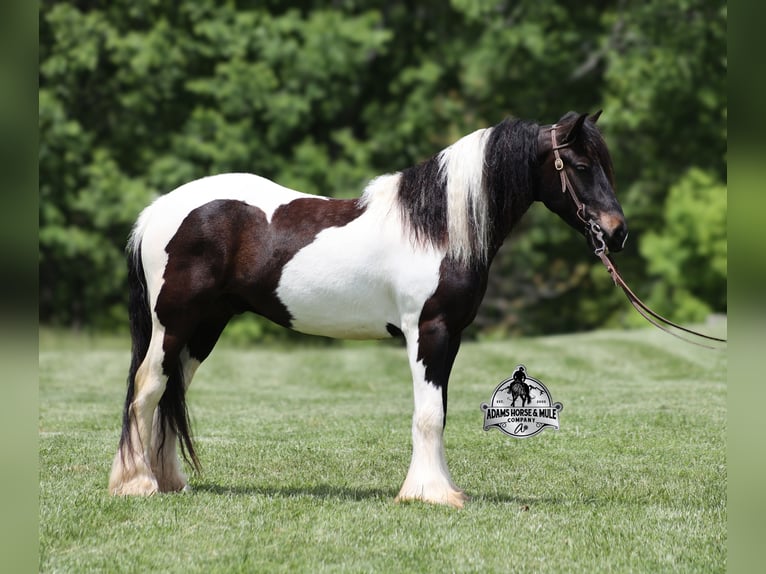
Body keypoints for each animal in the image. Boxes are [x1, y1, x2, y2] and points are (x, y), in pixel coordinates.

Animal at [109, 111, 627, 508]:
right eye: (580, 164)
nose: (617, 232)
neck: (437, 229)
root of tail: (157, 212)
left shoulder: (452, 335)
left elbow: (438, 411)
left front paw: (440, 489)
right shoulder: (428, 331)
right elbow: (428, 414)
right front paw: (429, 494)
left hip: (204, 328)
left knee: (170, 393)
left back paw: (166, 481)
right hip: (173, 326)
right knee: (147, 389)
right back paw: (136, 484)